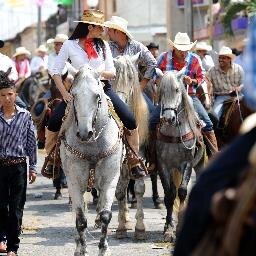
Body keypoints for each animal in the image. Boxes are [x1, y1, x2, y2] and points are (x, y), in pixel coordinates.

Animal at [60, 67, 124, 255]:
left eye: (97, 95)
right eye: (73, 95)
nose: (84, 133)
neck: (93, 145)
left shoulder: (111, 179)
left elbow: (105, 215)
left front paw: (104, 248)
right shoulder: (73, 181)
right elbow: (80, 219)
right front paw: (81, 249)